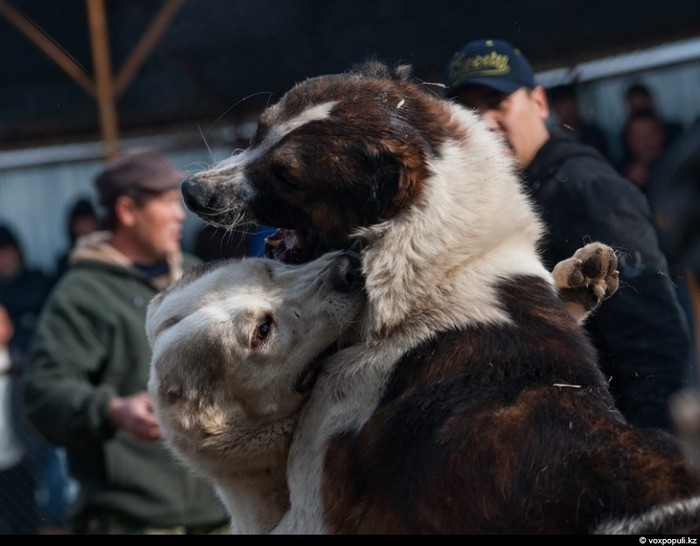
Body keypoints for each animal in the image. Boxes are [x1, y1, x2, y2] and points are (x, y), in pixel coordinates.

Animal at [176, 60, 700, 532]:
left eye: (287, 176)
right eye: (259, 130)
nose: (191, 190)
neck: (438, 278)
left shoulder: (314, 502)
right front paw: (580, 278)